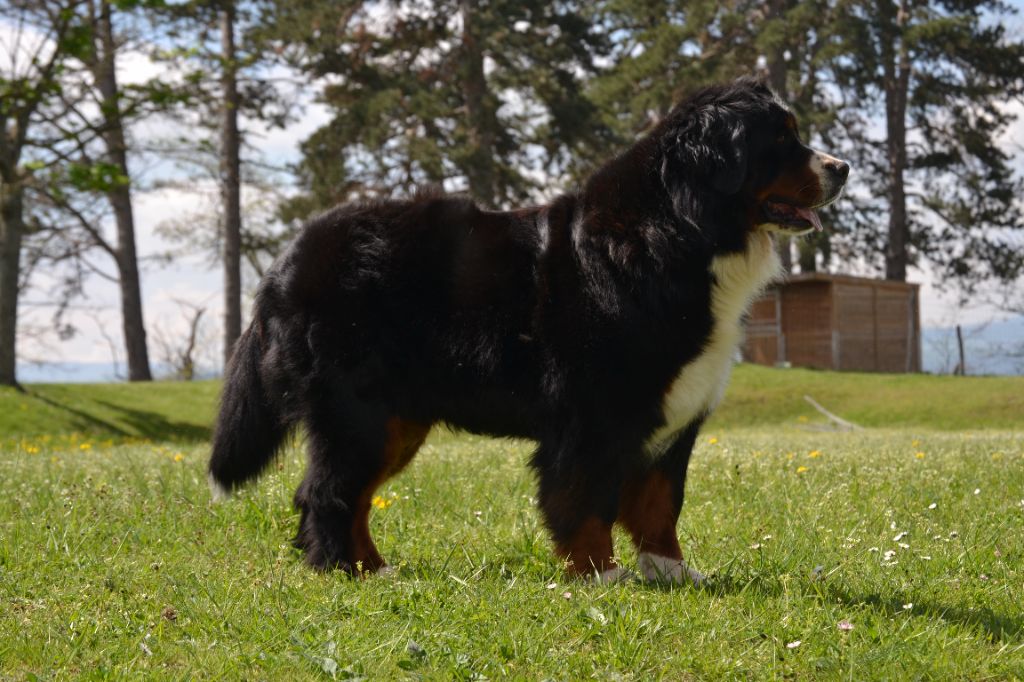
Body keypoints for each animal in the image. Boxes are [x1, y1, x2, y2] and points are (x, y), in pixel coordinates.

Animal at [205, 75, 847, 585]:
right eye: (781, 140)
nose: (841, 169)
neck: (683, 231)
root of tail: (290, 256)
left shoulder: (674, 415)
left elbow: (660, 504)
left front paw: (673, 573)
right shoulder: (593, 415)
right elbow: (584, 500)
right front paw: (600, 575)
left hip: (395, 419)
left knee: (352, 494)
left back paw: (376, 569)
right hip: (355, 411)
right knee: (328, 491)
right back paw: (348, 572)